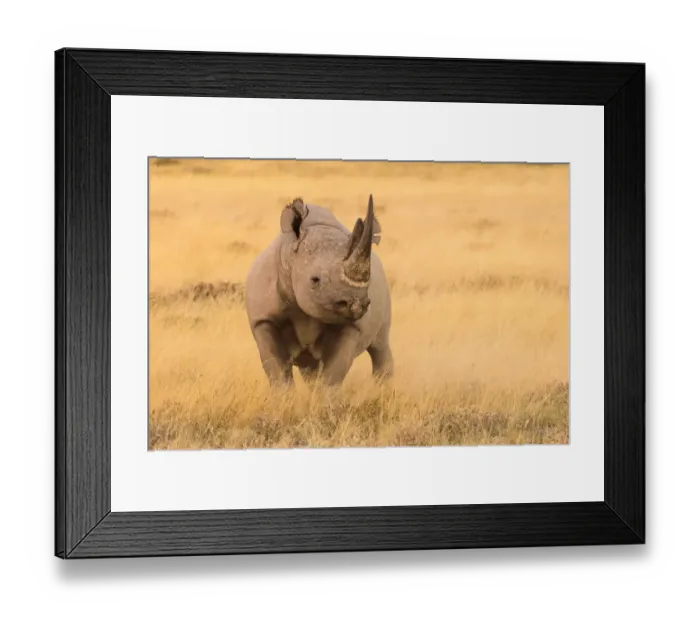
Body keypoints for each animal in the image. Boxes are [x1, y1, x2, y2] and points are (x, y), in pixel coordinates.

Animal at [245, 194, 393, 387]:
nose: (356, 305)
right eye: (314, 280)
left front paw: (324, 396)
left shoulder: (352, 326)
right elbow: (277, 371)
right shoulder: (263, 319)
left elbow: (333, 373)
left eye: (368, 281)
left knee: (379, 347)